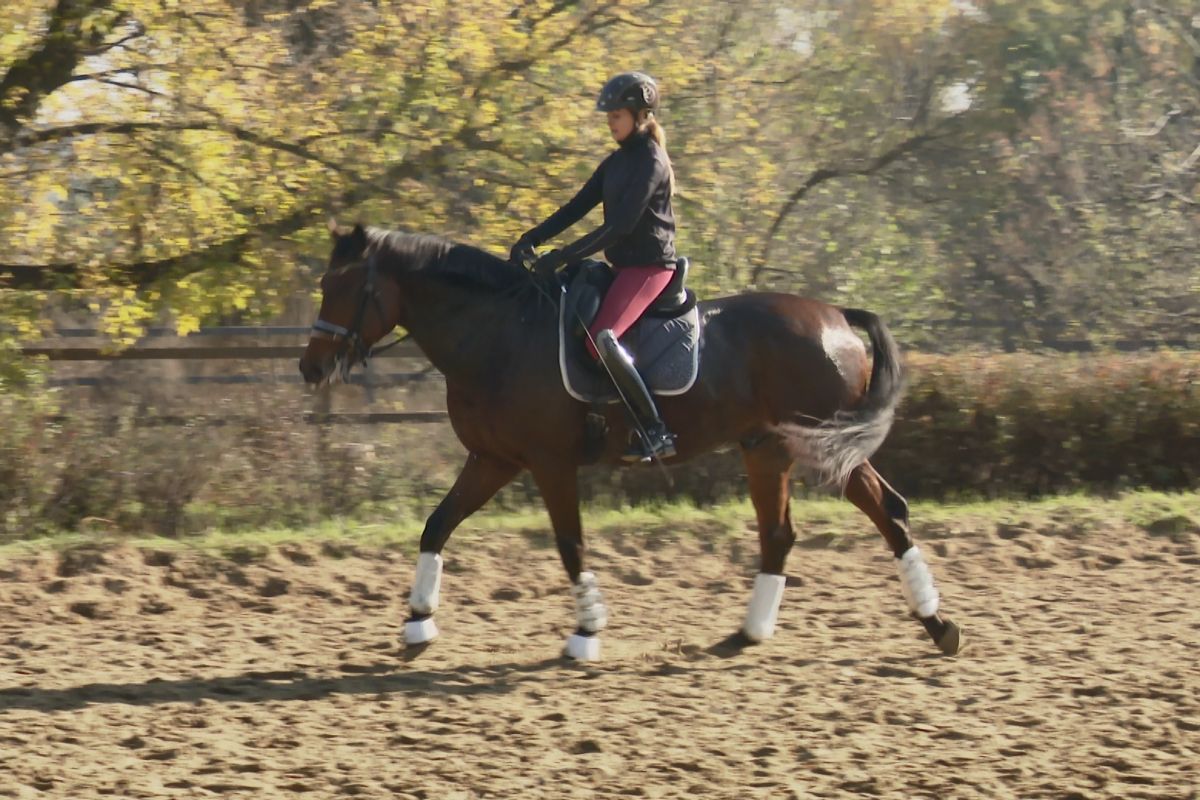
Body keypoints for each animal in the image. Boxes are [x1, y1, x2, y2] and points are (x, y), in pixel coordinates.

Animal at [302, 221, 964, 662]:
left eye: (342, 286)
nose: (310, 367)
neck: (498, 334)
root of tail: (835, 316)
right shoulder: (493, 460)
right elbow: (437, 526)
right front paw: (417, 623)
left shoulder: (548, 463)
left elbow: (570, 544)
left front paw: (585, 633)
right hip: (767, 449)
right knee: (786, 533)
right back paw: (753, 634)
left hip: (823, 446)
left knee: (885, 512)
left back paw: (937, 627)